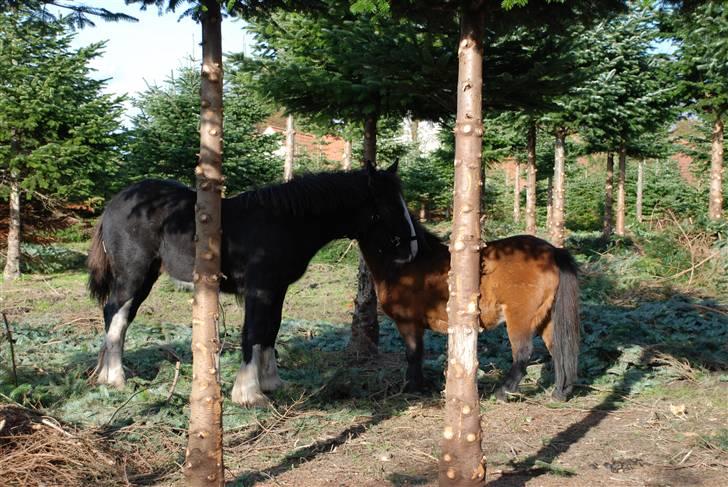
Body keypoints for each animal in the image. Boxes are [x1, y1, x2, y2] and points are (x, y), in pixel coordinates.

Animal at [86, 161, 418, 408]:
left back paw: (105, 374)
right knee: (117, 314)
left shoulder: (277, 290)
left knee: (115, 315)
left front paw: (271, 382)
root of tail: (116, 203)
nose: (411, 250)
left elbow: (271, 329)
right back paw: (115, 377)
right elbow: (253, 332)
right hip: (134, 274)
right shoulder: (260, 290)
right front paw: (248, 392)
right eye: (388, 208)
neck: (284, 222)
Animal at [358, 223, 580, 402]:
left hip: (520, 317)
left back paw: (503, 392)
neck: (408, 263)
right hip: (545, 317)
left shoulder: (408, 323)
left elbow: (413, 354)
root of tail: (552, 251)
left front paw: (414, 389)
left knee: (523, 352)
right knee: (557, 348)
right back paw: (560, 393)